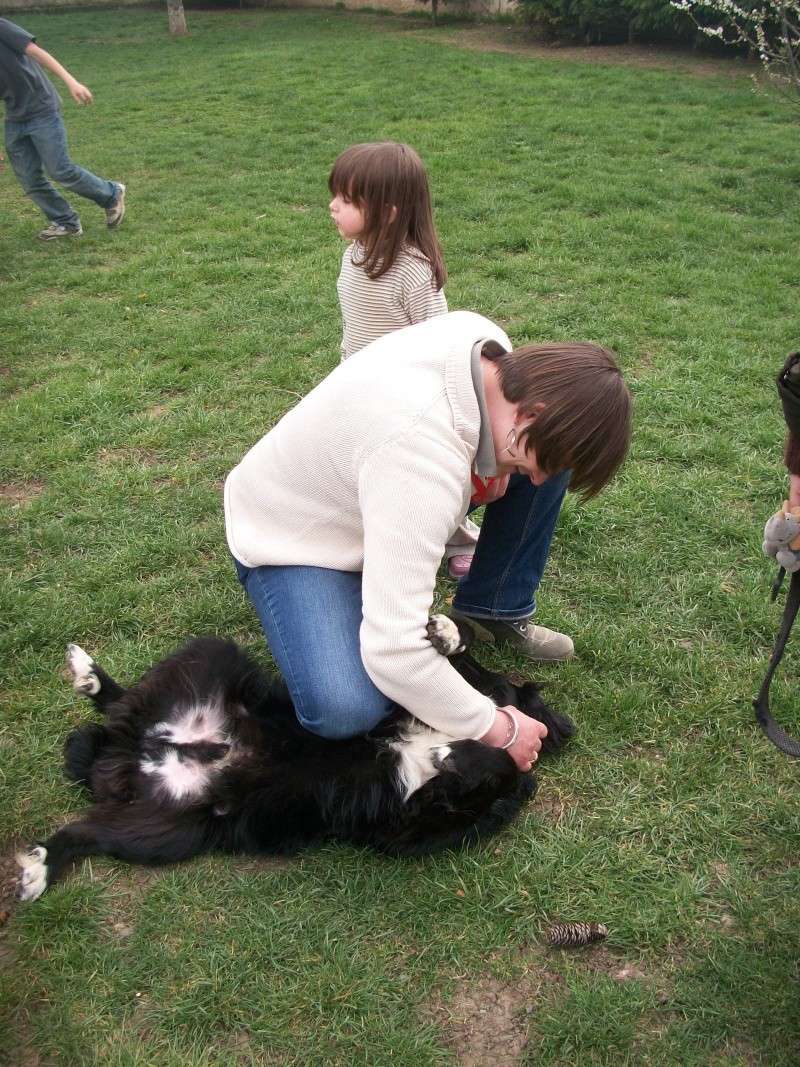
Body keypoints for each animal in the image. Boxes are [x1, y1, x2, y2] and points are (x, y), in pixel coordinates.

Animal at [15, 618, 571, 900]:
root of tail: (135, 753)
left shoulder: (413, 828)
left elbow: (502, 770)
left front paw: (458, 752)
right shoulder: (395, 706)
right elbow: (460, 676)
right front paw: (449, 633)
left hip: (164, 830)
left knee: (86, 832)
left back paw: (39, 867)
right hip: (211, 656)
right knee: (123, 702)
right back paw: (90, 675)